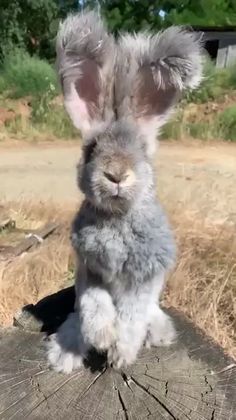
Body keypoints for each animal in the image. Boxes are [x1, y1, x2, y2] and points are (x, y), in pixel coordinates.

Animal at [46, 9, 203, 372]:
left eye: (142, 150)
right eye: (91, 148)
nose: (116, 174)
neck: (117, 217)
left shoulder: (143, 278)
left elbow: (132, 315)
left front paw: (120, 354)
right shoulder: (90, 271)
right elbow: (95, 304)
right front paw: (102, 338)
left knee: (149, 314)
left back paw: (157, 333)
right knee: (78, 313)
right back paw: (66, 351)